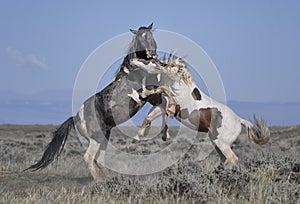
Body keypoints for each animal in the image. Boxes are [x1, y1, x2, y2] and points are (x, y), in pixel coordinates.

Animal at [26, 23, 176, 181]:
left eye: (151, 35)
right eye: (141, 37)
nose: (152, 54)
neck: (134, 70)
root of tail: (76, 117)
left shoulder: (151, 97)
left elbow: (163, 104)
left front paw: (164, 133)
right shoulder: (147, 92)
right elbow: (165, 92)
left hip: (105, 136)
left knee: (99, 159)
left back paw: (109, 178)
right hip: (96, 138)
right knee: (88, 158)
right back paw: (99, 181)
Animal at [131, 55, 270, 167]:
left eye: (147, 60)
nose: (132, 60)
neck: (176, 81)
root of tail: (239, 120)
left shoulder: (170, 100)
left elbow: (161, 90)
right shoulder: (162, 106)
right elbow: (148, 117)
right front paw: (137, 138)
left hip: (222, 143)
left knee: (232, 159)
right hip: (217, 143)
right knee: (224, 159)